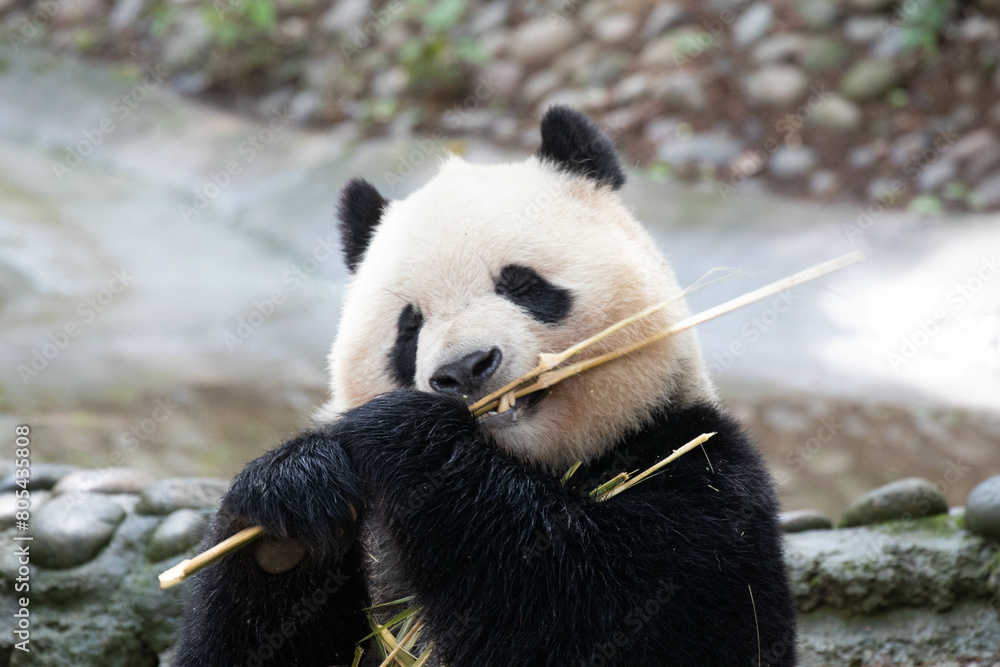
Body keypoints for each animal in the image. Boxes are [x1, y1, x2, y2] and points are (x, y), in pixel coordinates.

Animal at [174, 107, 798, 667]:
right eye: (409, 327)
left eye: (520, 284)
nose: (466, 368)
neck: (522, 462)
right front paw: (288, 505)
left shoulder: (699, 470)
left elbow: (615, 610)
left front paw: (409, 437)